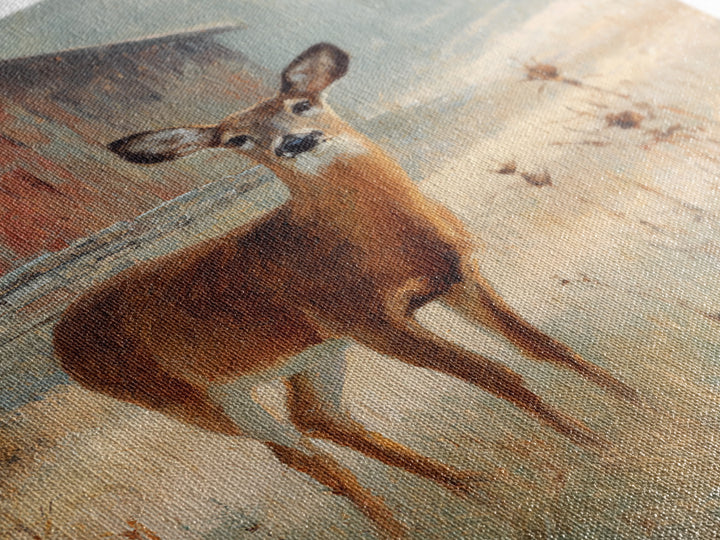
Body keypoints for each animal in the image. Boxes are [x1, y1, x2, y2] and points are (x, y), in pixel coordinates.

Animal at [53, 43, 637, 538]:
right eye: (238, 139)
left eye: (302, 103)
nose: (292, 141)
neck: (383, 240)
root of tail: (62, 339)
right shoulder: (371, 321)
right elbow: (499, 372)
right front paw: (595, 443)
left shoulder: (458, 279)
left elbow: (541, 347)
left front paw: (632, 403)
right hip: (193, 396)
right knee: (304, 455)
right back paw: (407, 523)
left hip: (315, 353)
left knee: (320, 417)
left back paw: (469, 484)